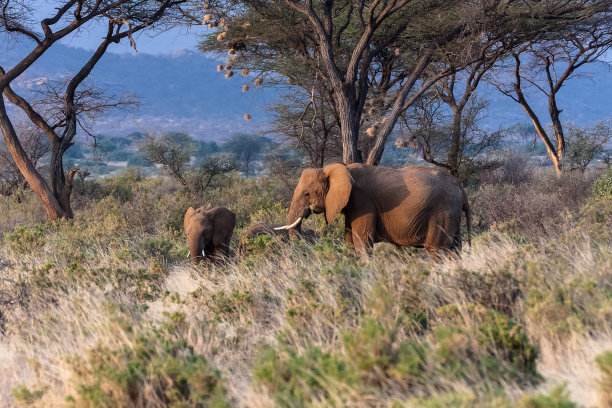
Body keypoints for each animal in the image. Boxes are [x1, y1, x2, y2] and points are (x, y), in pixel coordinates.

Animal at [278, 162, 474, 258]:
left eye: (306, 194)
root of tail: (461, 188)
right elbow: (350, 240)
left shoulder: (363, 201)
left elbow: (361, 242)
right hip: (451, 214)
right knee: (455, 249)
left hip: (442, 212)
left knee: (437, 250)